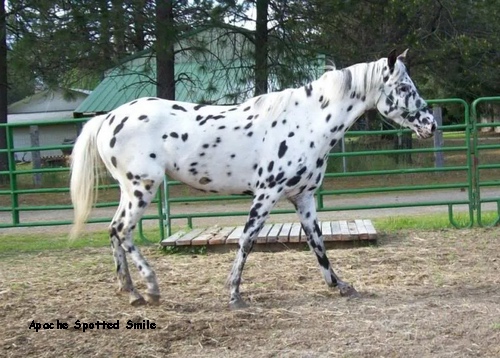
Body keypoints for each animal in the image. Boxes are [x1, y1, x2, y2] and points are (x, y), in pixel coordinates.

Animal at [69, 49, 434, 308]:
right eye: (403, 87)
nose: (430, 124)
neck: (308, 122)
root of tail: (108, 118)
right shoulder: (266, 195)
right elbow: (247, 241)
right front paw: (234, 295)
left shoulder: (304, 197)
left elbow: (317, 243)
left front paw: (340, 285)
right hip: (142, 188)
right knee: (122, 231)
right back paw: (151, 289)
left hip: (129, 190)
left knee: (113, 230)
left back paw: (130, 291)